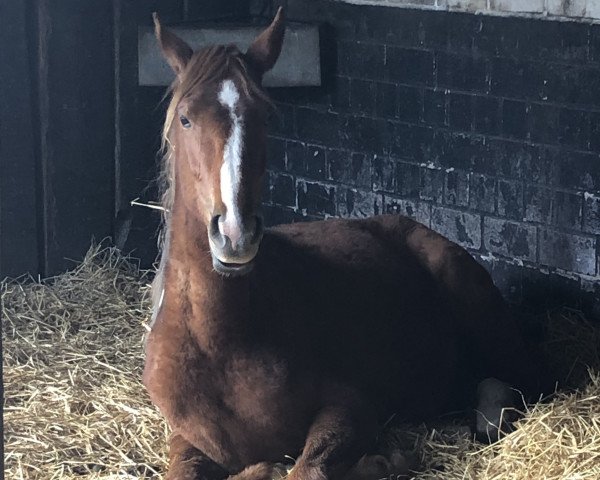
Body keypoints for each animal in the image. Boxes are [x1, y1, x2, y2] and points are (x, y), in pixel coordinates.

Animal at [143, 8, 548, 480]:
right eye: (186, 119)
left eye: (267, 117)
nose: (234, 233)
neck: (217, 345)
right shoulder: (187, 439)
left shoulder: (350, 406)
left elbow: (307, 467)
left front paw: (380, 461)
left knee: (522, 379)